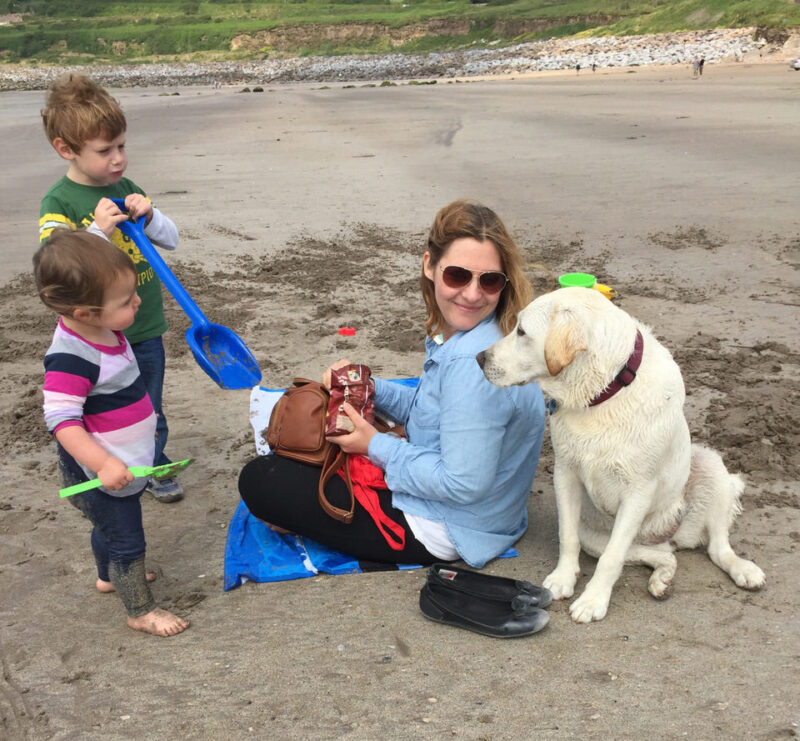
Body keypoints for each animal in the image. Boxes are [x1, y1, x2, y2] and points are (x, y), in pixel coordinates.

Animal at [478, 286, 764, 620]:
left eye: (522, 331)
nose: (479, 358)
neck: (603, 392)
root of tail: (673, 536)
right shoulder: (565, 473)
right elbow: (567, 537)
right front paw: (563, 578)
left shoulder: (638, 491)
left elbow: (611, 559)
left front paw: (592, 601)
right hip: (598, 537)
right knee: (662, 555)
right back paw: (661, 580)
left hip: (710, 465)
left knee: (718, 547)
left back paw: (744, 570)